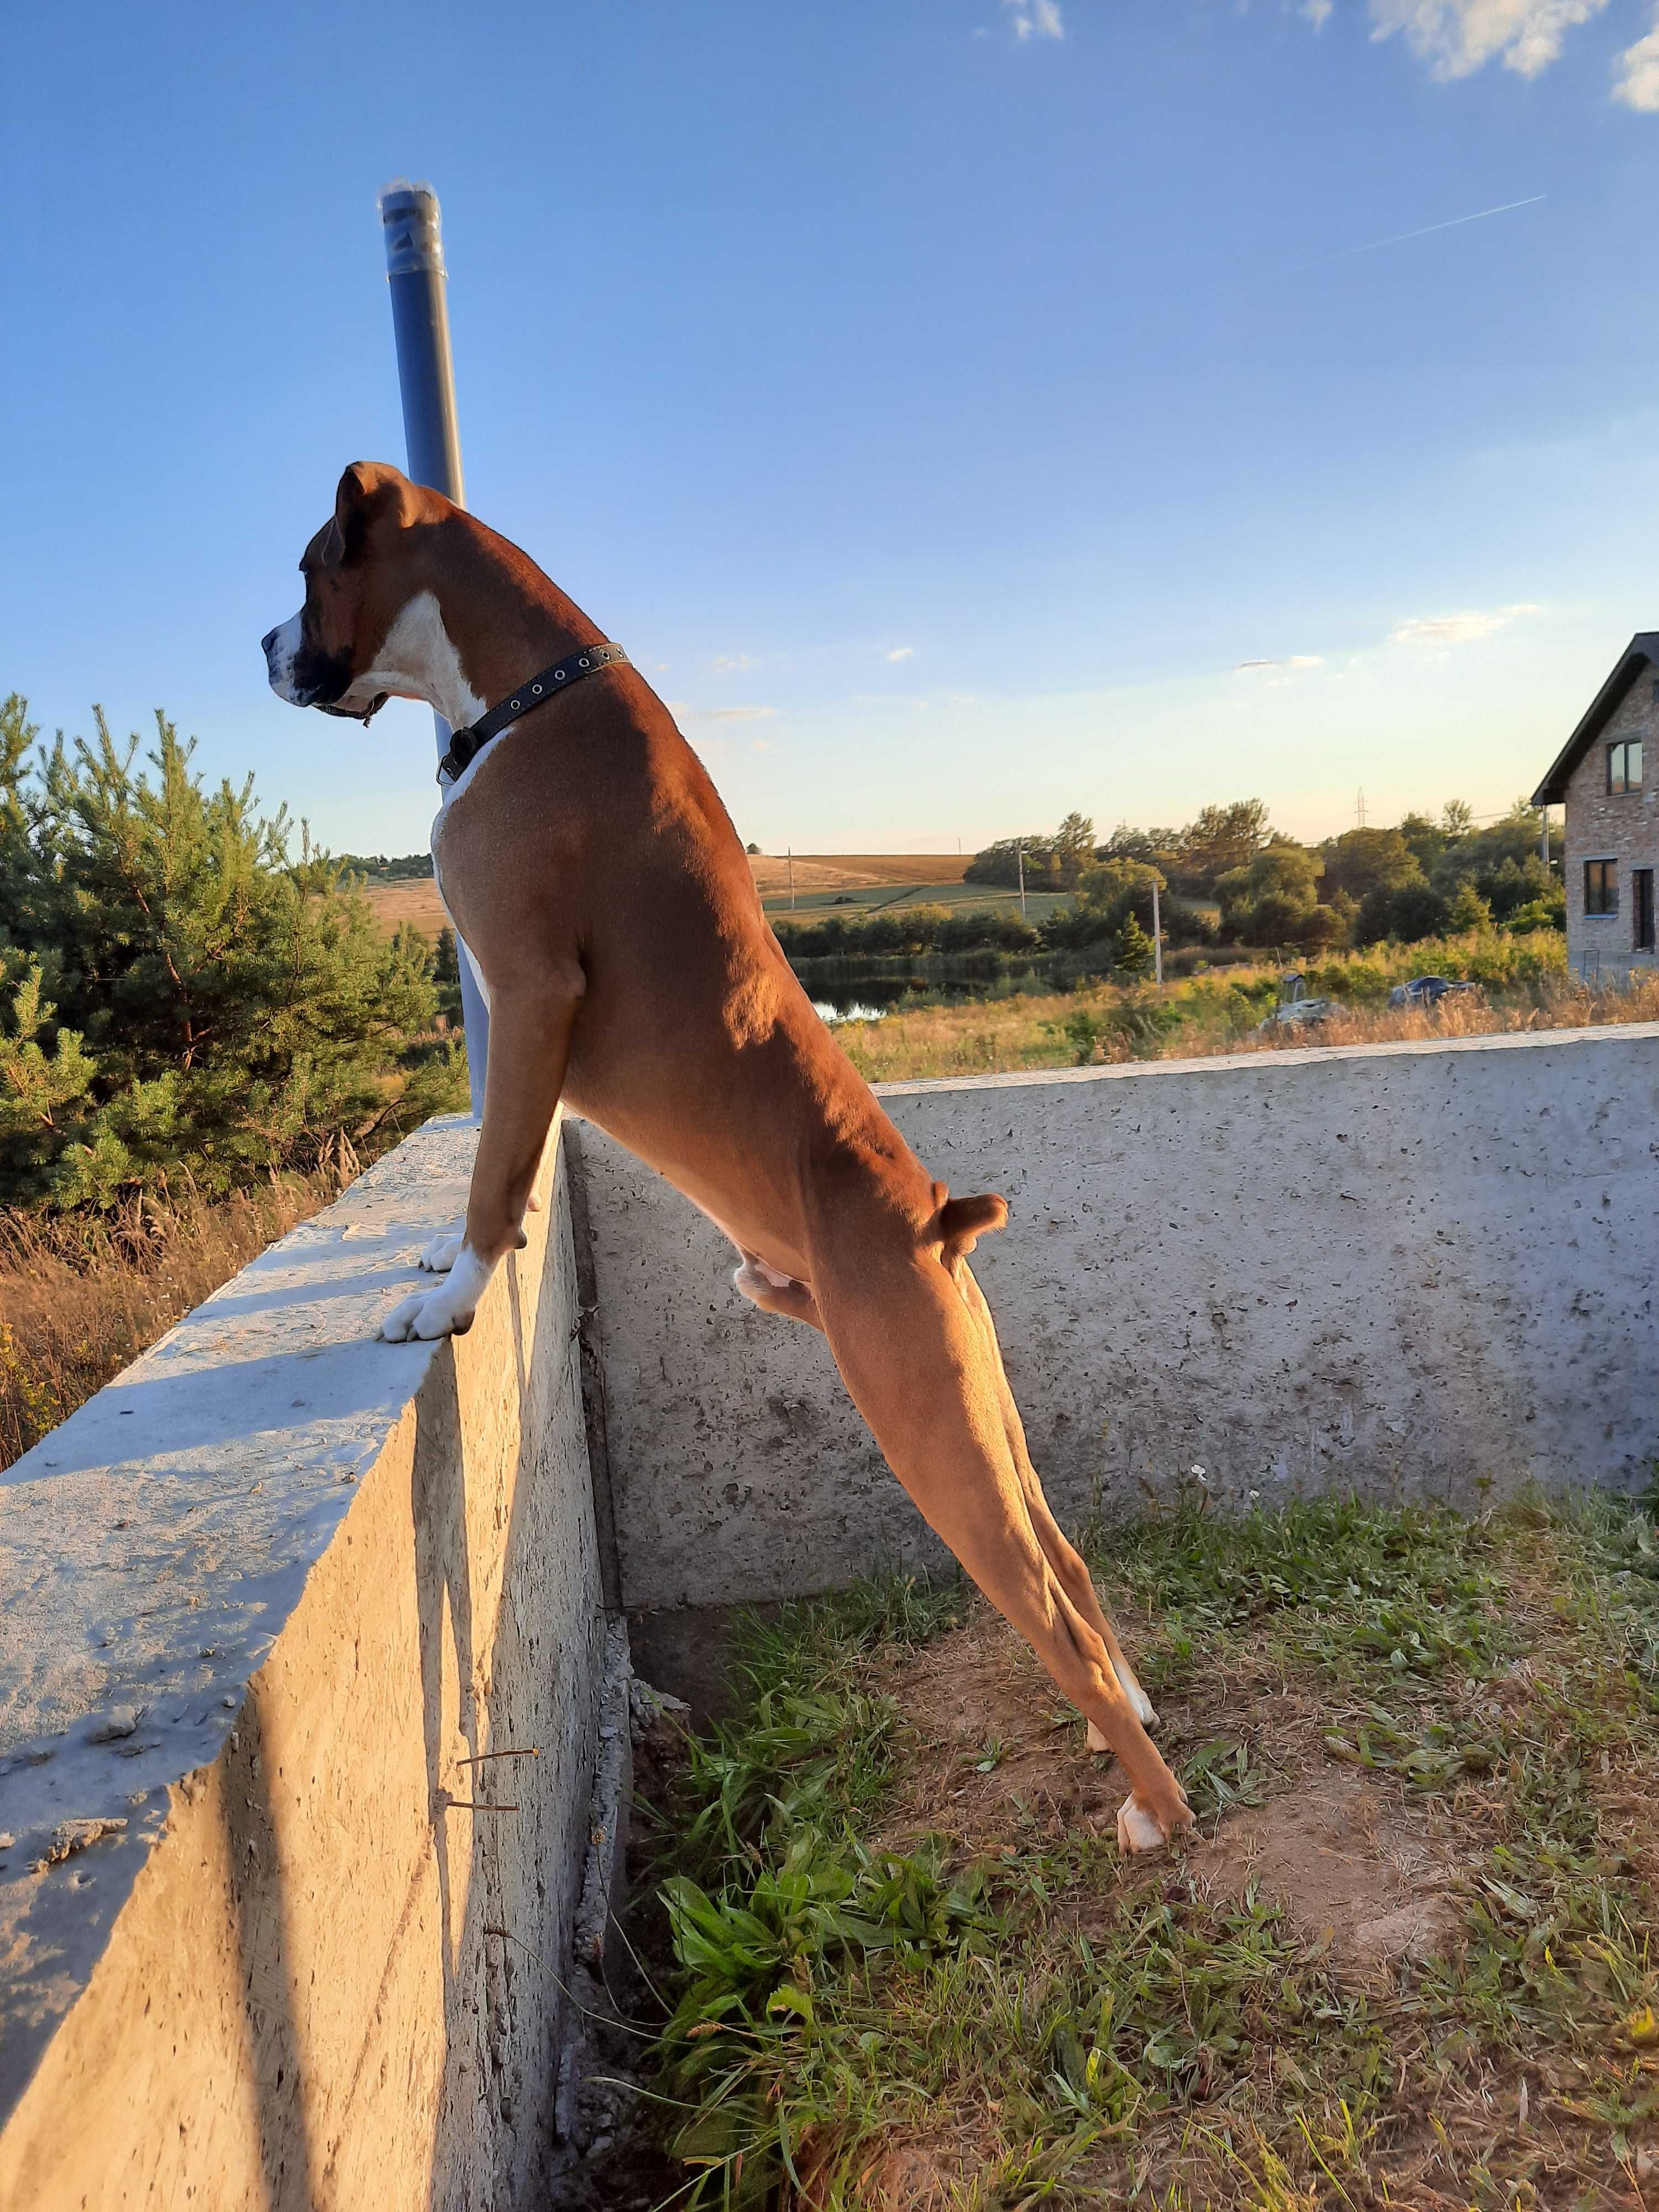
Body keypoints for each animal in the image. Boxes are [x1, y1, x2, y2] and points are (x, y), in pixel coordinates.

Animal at [263, 467, 1194, 1849]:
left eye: (313, 566)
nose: (264, 646)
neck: (527, 690)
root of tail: (936, 1219)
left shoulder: (527, 994)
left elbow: (496, 1166)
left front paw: (450, 1296)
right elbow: (499, 1157)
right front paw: (439, 1257)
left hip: (930, 1437)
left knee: (1050, 1616)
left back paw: (1152, 1801)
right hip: (984, 1413)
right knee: (1070, 1566)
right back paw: (1117, 1716)